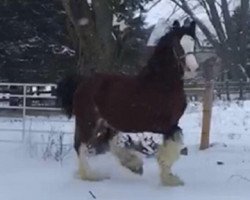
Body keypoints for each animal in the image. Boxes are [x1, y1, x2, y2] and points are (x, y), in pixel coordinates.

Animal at [56, 19, 199, 186]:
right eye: (177, 44)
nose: (193, 68)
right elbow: (171, 151)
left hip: (108, 123)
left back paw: (133, 165)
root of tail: (82, 82)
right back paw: (91, 176)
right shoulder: (167, 126)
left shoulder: (171, 125)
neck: (162, 84)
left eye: (193, 43)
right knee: (81, 145)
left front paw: (168, 177)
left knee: (107, 143)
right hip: (88, 121)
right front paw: (170, 180)